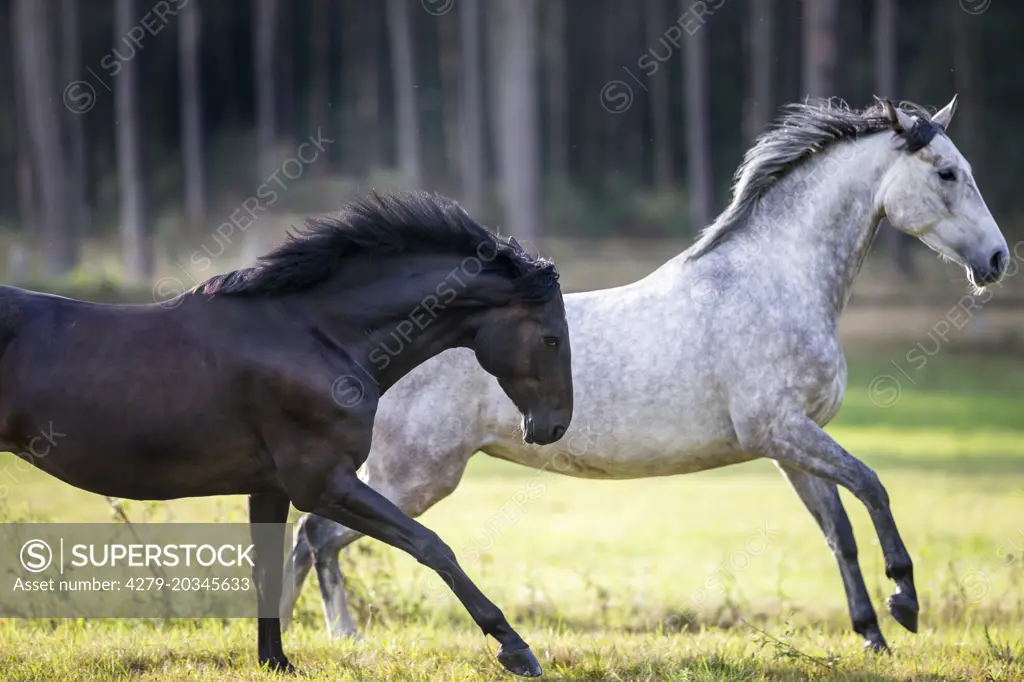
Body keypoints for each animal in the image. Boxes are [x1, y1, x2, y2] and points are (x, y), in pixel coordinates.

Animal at [0, 191, 573, 675]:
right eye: (551, 337)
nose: (553, 426)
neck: (316, 337)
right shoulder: (322, 484)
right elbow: (432, 546)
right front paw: (516, 648)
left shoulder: (271, 488)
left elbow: (268, 570)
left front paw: (275, 662)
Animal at [284, 98, 1003, 651]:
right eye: (947, 173)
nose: (998, 259)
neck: (775, 284)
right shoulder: (781, 431)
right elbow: (874, 487)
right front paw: (906, 604)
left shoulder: (791, 446)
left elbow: (839, 534)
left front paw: (873, 636)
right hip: (416, 476)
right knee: (314, 535)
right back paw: (337, 638)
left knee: (306, 538)